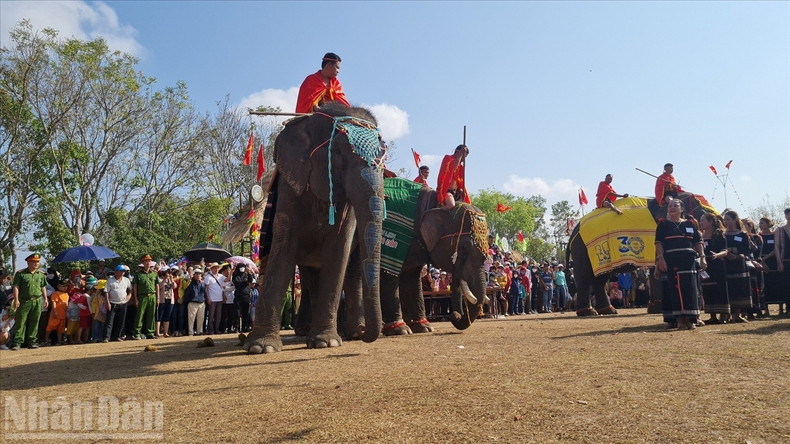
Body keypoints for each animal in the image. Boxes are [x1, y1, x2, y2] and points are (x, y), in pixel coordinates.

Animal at [244, 103, 386, 354]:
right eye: (337, 152)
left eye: (383, 156)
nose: (364, 334)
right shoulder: (290, 189)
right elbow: (283, 251)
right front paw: (261, 348)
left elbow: (338, 252)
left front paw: (326, 342)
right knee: (309, 274)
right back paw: (309, 331)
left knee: (352, 270)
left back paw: (347, 332)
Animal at [567, 192, 715, 316]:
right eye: (702, 212)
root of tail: (574, 230)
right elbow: (657, 267)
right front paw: (658, 310)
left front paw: (654, 309)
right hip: (582, 248)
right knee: (585, 278)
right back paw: (588, 312)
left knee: (600, 279)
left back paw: (608, 311)